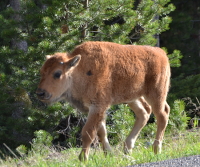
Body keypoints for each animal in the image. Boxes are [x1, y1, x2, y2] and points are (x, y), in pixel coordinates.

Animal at [36, 41, 170, 161]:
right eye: (42, 71)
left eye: (57, 74)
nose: (40, 93)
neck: (80, 69)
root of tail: (161, 53)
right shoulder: (97, 110)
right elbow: (101, 132)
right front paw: (109, 154)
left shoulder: (97, 107)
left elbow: (88, 133)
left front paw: (83, 158)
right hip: (132, 98)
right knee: (144, 112)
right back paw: (127, 149)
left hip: (156, 94)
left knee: (162, 114)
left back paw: (156, 149)